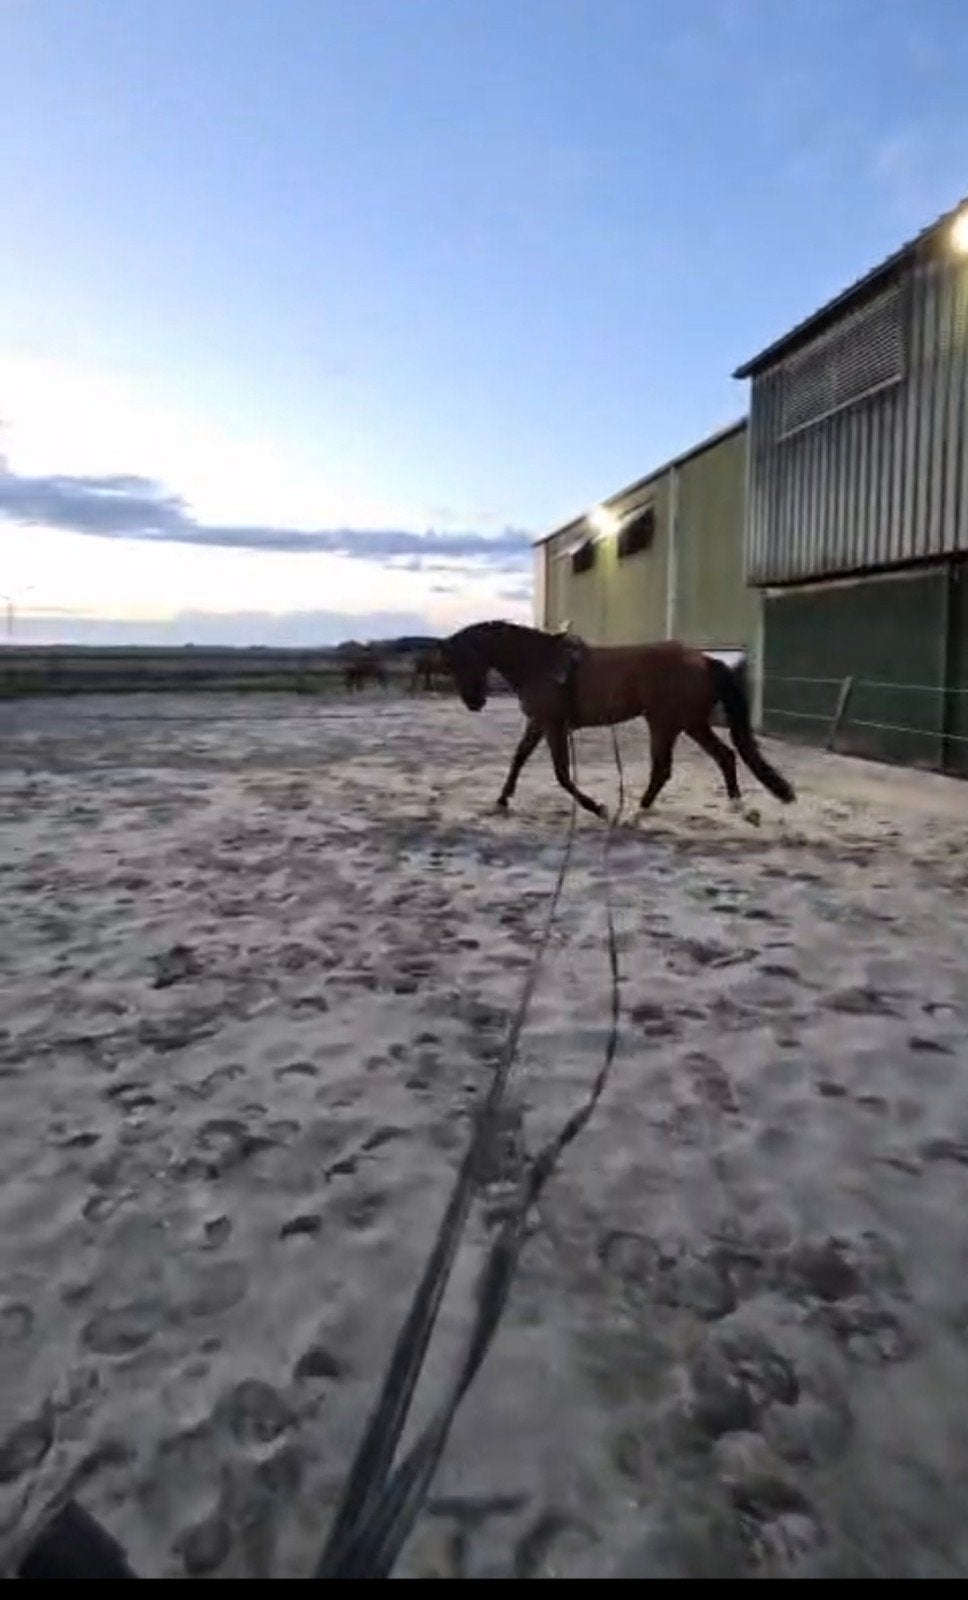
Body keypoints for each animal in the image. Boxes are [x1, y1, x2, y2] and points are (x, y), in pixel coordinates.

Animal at [441, 620, 795, 819]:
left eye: (464, 660)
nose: (474, 702)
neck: (541, 664)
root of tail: (704, 660)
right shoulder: (539, 722)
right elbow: (519, 759)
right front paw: (501, 802)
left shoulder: (553, 724)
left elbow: (561, 774)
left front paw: (598, 808)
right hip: (690, 722)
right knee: (725, 756)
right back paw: (738, 808)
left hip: (665, 723)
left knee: (663, 768)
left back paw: (636, 813)